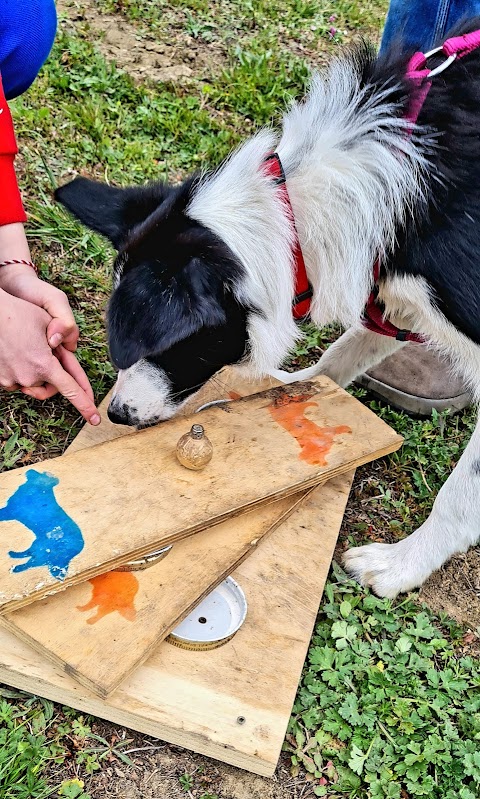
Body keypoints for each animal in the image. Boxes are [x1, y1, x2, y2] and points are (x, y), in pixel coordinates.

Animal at [58, 17, 480, 600]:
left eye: (169, 342)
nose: (117, 414)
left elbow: (462, 492)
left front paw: (401, 565)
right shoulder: (390, 283)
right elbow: (342, 356)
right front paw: (294, 390)